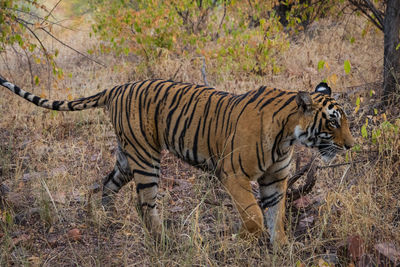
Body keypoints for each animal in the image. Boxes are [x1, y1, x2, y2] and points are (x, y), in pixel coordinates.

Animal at [0, 76, 354, 247]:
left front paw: (280, 248)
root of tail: (116, 88)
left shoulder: (275, 180)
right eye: (333, 121)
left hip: (126, 158)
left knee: (107, 185)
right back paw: (165, 241)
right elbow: (254, 216)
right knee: (144, 203)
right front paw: (244, 237)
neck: (288, 136)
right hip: (146, 158)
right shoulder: (233, 174)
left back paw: (105, 216)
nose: (351, 145)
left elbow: (275, 217)